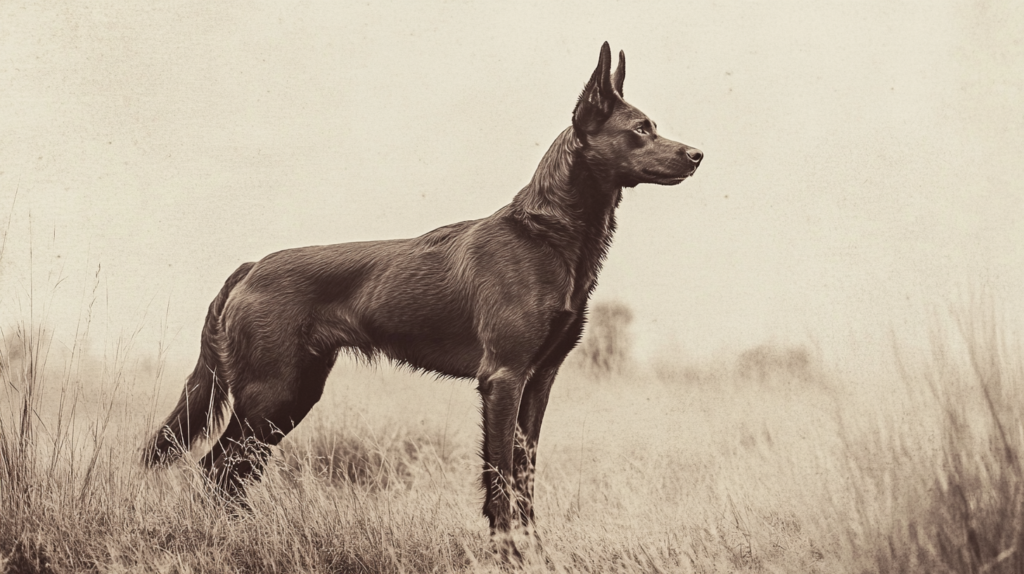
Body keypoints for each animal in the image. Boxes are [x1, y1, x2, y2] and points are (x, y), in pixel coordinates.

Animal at [146, 41, 704, 560]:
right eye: (640, 129)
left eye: (654, 127)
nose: (697, 154)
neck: (547, 234)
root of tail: (251, 266)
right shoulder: (503, 378)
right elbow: (500, 476)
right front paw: (507, 553)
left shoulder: (540, 380)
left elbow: (525, 476)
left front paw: (537, 552)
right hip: (272, 393)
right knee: (217, 469)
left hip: (293, 394)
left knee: (232, 473)